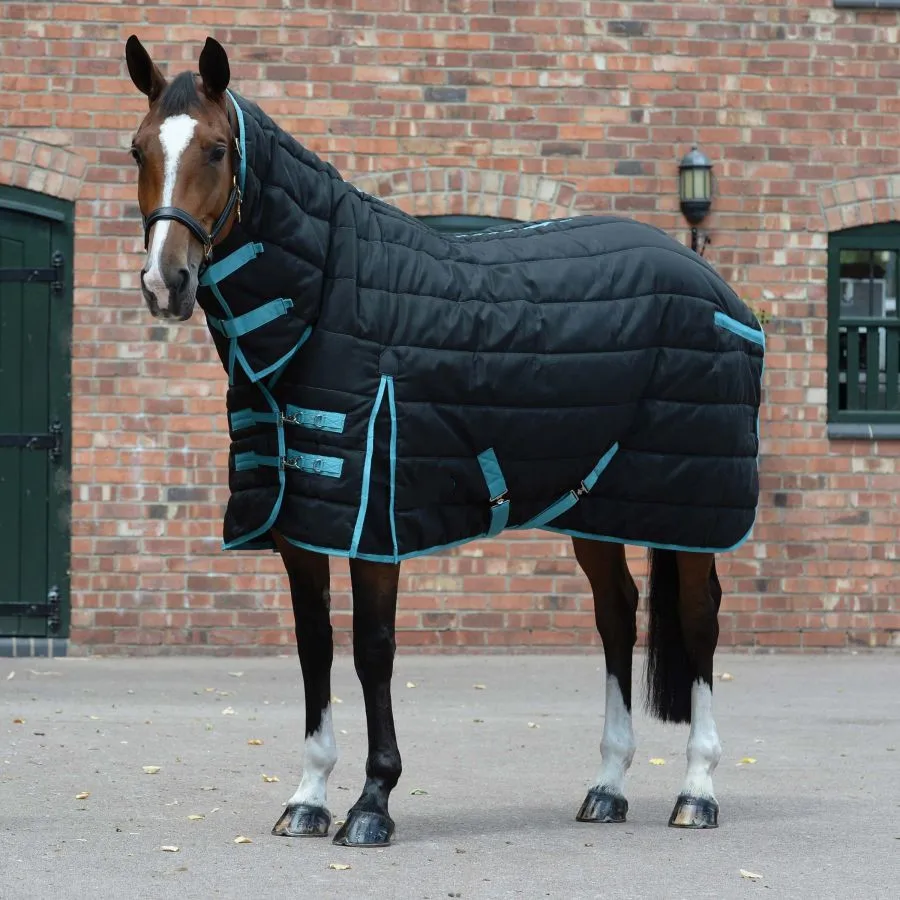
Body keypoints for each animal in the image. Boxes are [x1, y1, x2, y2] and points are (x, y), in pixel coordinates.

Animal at [124, 35, 764, 848]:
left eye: (215, 148)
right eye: (137, 148)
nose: (164, 282)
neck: (327, 296)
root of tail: (716, 284)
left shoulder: (374, 520)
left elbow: (372, 650)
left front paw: (372, 802)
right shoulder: (302, 521)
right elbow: (313, 648)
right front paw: (307, 798)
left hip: (691, 507)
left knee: (698, 621)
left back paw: (696, 791)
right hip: (595, 502)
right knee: (616, 613)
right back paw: (607, 786)